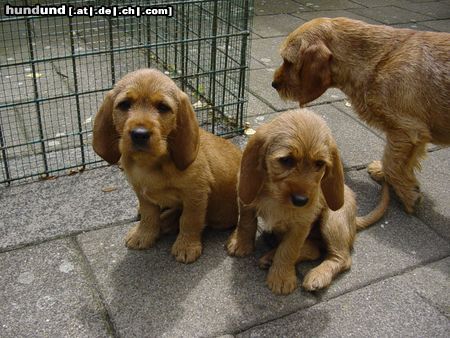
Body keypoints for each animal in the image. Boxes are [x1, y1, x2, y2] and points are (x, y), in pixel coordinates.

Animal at [92, 68, 246, 264]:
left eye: (163, 107)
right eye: (124, 104)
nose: (139, 134)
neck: (151, 164)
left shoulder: (195, 194)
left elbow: (189, 220)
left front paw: (186, 246)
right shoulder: (141, 192)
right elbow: (149, 215)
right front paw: (143, 235)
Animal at [227, 109, 388, 294]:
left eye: (319, 163)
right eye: (286, 160)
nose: (301, 200)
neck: (274, 195)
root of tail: (354, 220)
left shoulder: (300, 225)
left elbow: (288, 250)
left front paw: (281, 277)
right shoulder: (246, 200)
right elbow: (246, 223)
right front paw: (241, 244)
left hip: (333, 220)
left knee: (341, 258)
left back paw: (317, 274)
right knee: (314, 250)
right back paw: (270, 257)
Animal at [270, 17, 450, 213]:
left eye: (288, 61)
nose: (274, 84)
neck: (379, 60)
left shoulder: (407, 130)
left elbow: (392, 163)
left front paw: (409, 195)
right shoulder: (410, 136)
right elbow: (394, 160)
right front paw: (385, 174)